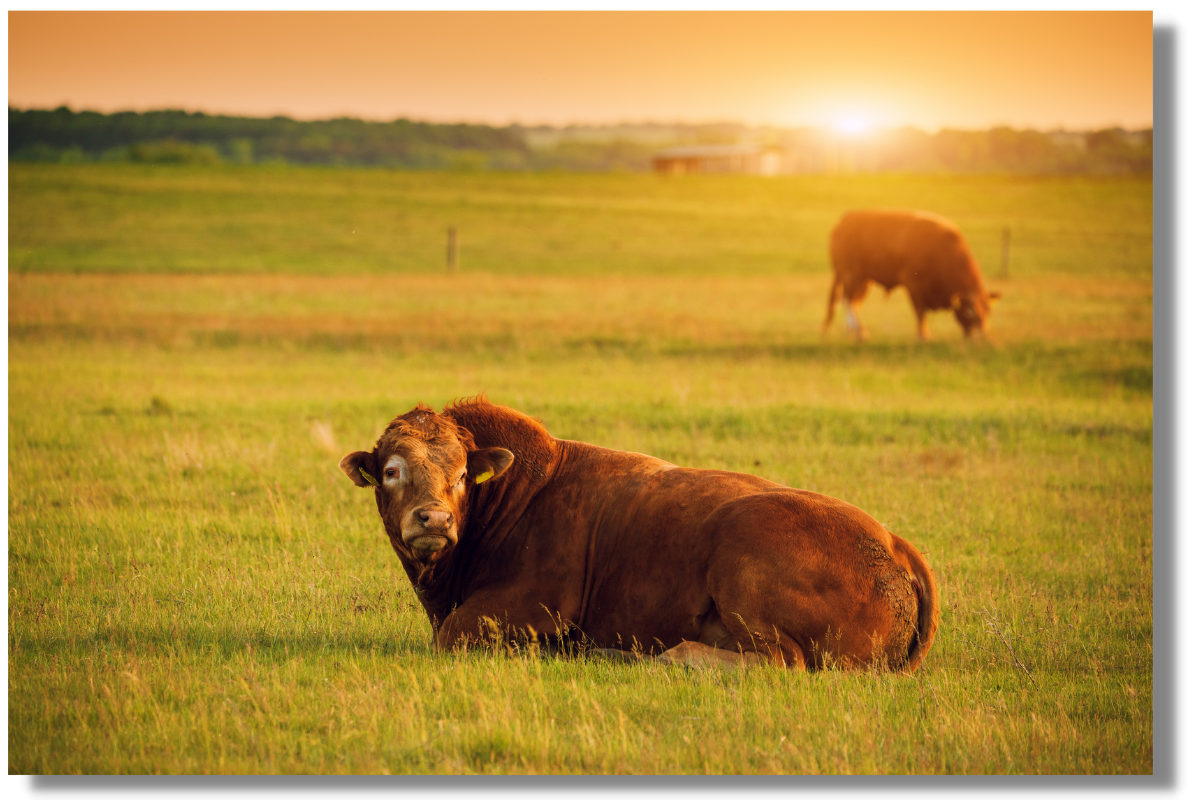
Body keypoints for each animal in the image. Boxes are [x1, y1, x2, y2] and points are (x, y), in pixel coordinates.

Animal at [338, 398, 936, 671]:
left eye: (463, 474)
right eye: (391, 470)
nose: (435, 520)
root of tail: (893, 544)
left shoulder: (530, 606)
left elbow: (450, 636)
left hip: (742, 568)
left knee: (777, 661)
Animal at [825, 208, 1003, 340]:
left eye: (988, 311)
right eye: (969, 312)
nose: (982, 337)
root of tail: (845, 219)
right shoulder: (914, 285)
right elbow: (920, 312)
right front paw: (924, 336)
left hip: (864, 279)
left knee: (854, 302)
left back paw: (852, 332)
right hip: (851, 274)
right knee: (847, 300)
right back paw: (858, 331)